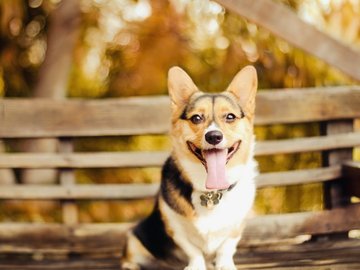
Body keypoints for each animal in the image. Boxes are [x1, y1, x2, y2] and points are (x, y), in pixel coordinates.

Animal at [122, 66, 258, 270]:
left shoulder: (236, 227)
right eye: (196, 118)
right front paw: (196, 265)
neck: (211, 192)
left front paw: (225, 264)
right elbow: (193, 250)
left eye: (230, 117)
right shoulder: (174, 225)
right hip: (135, 239)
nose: (214, 136)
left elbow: (226, 247)